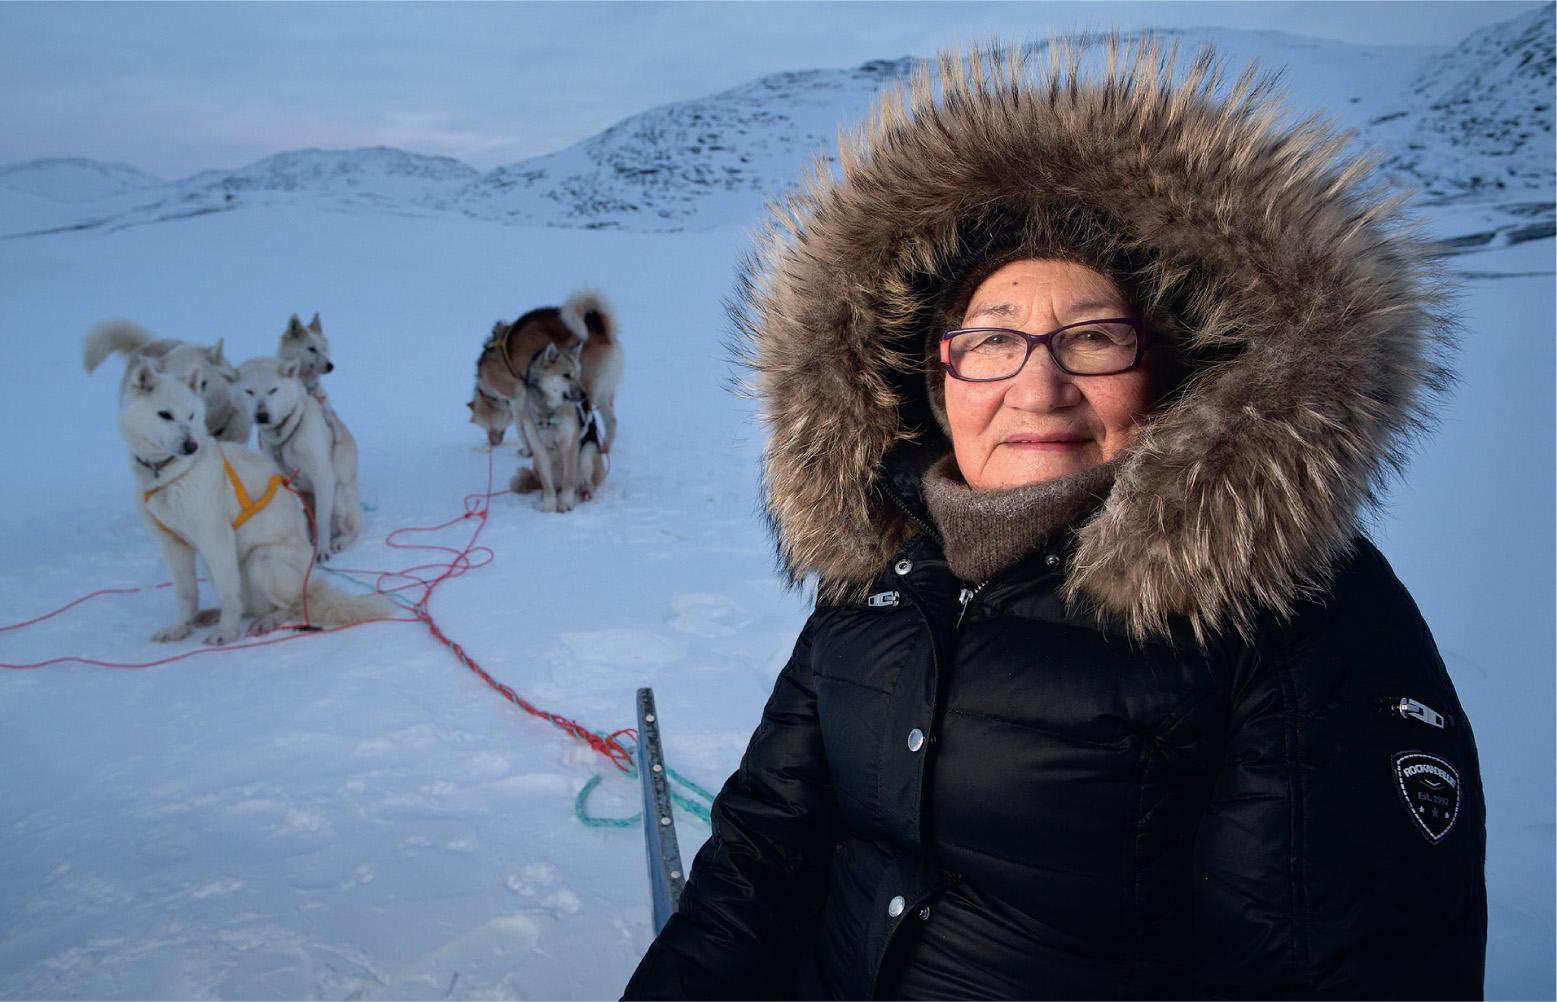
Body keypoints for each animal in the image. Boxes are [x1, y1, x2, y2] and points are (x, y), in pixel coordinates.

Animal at [236, 354, 364, 560]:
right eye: (249, 391)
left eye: (273, 390)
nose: (262, 415)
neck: (285, 433)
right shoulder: (282, 476)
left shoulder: (322, 475)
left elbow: (321, 520)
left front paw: (321, 550)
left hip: (338, 495)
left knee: (351, 528)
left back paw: (339, 540)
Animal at [470, 287, 622, 457]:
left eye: (486, 426)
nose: (492, 443)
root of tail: (602, 332)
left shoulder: (517, 400)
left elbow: (521, 428)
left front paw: (527, 450)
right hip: (604, 392)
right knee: (612, 422)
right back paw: (603, 449)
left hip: (582, 390)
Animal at [510, 340, 607, 513]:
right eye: (566, 375)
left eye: (578, 374)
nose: (584, 396)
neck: (548, 415)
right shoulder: (540, 451)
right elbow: (548, 486)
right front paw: (549, 507)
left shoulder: (569, 447)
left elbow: (568, 482)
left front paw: (565, 504)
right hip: (536, 463)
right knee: (553, 486)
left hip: (586, 454)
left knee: (586, 483)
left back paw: (585, 492)